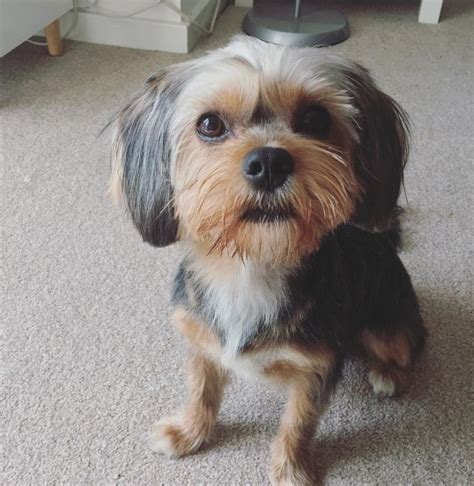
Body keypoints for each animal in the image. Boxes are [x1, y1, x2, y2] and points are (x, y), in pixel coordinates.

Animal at [109, 36, 428, 484]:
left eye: (315, 118)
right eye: (210, 124)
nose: (269, 162)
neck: (251, 263)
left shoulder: (315, 367)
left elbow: (298, 422)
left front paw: (291, 467)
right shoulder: (200, 338)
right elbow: (200, 389)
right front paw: (189, 432)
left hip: (389, 327)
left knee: (407, 345)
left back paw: (388, 374)